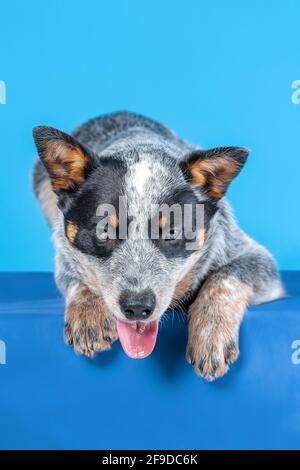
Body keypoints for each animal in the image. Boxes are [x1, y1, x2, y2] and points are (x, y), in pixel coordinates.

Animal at [32, 111, 284, 382]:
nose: (137, 307)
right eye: (103, 231)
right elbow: (76, 277)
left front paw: (210, 334)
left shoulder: (255, 257)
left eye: (172, 232)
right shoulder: (62, 255)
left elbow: (225, 277)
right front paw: (88, 314)